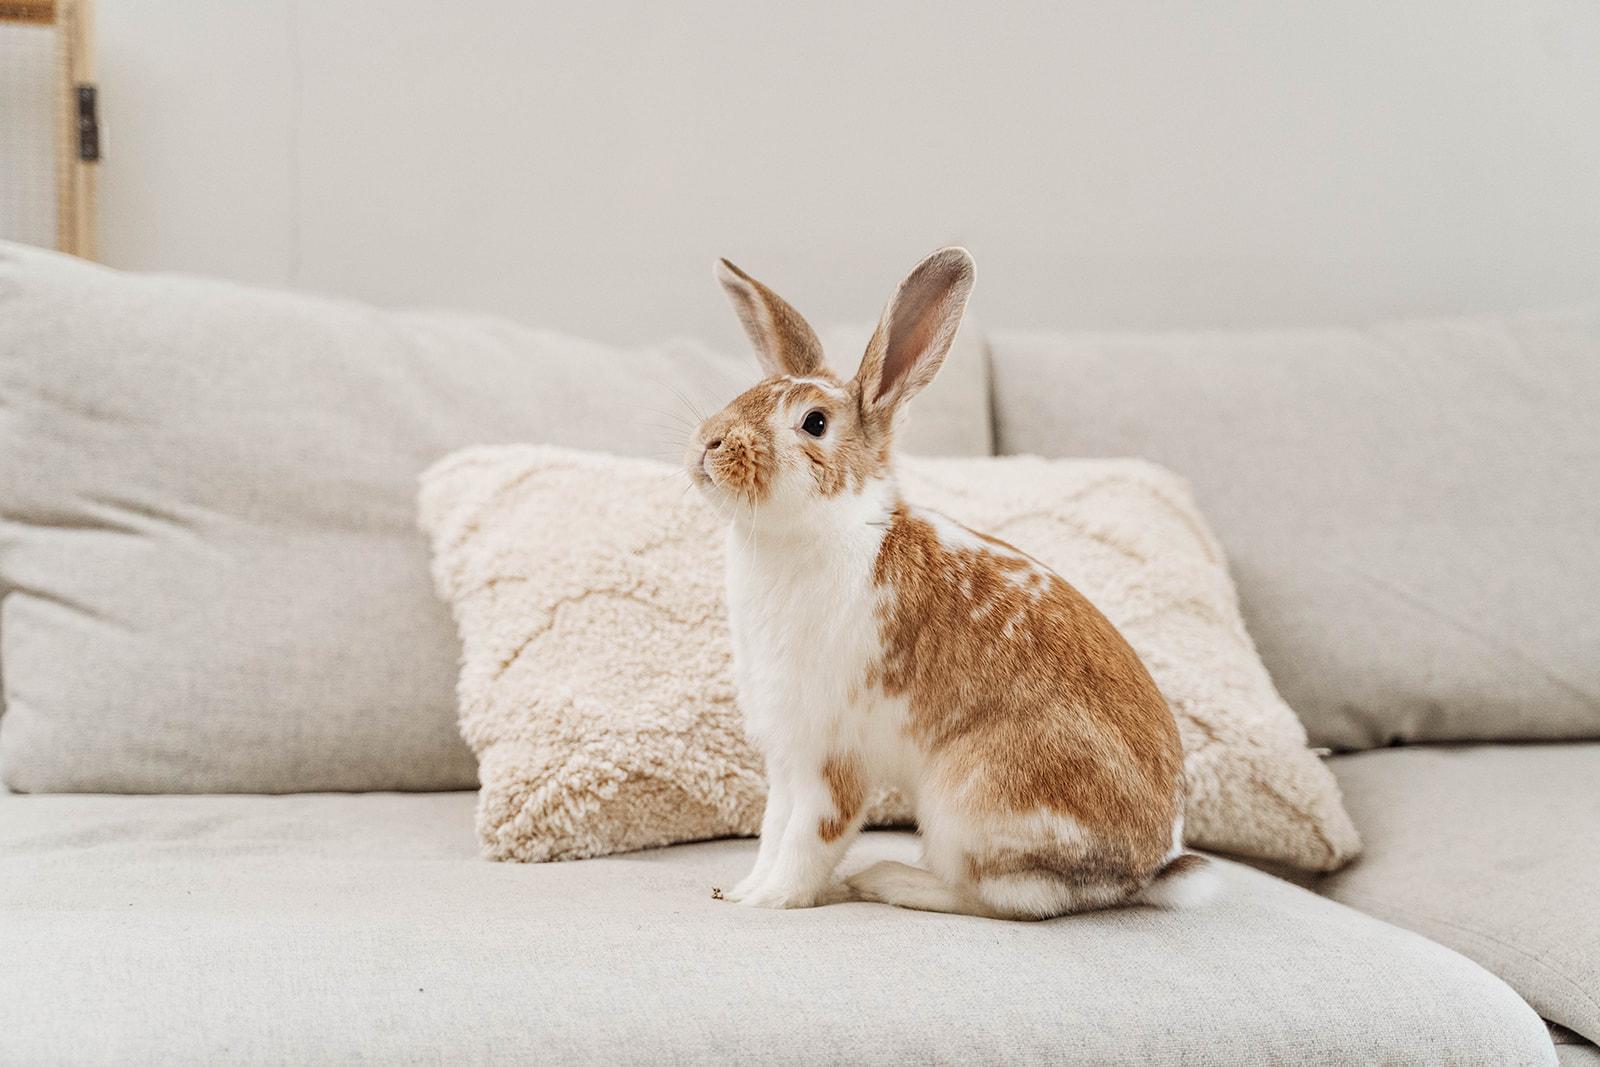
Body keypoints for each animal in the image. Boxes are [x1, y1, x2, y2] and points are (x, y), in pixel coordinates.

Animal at [687, 247, 1215, 919]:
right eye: (748, 393)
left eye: (814, 423)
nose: (709, 443)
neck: (823, 529)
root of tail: (1147, 868)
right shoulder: (786, 758)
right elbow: (773, 829)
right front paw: (742, 890)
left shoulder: (832, 759)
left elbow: (811, 838)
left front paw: (773, 902)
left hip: (969, 803)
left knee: (1007, 898)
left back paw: (885, 880)